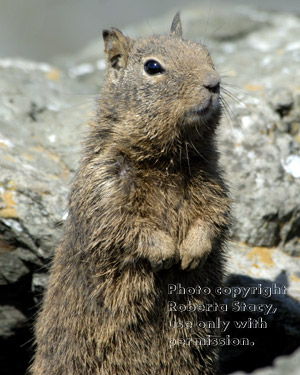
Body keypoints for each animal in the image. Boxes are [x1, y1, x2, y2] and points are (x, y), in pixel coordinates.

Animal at [31, 13, 230, 375]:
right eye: (152, 67)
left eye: (205, 52)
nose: (214, 83)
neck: (167, 159)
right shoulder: (104, 186)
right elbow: (125, 226)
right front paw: (166, 253)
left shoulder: (214, 184)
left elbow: (214, 216)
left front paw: (192, 252)